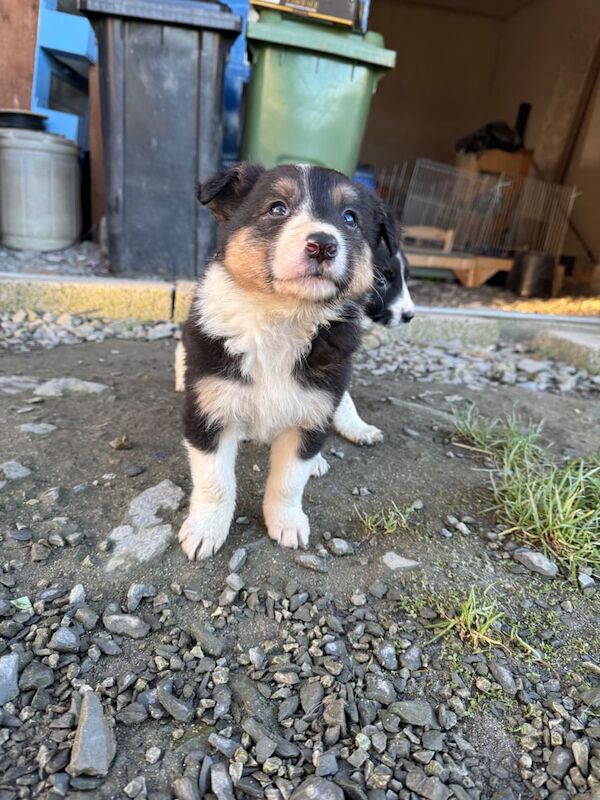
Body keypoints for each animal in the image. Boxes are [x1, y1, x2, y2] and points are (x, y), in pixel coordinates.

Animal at [177, 162, 398, 560]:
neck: (283, 317)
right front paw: (205, 531)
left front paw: (287, 523)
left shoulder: (315, 406)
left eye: (350, 218)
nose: (322, 244)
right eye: (277, 208)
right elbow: (215, 482)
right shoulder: (206, 409)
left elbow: (289, 480)